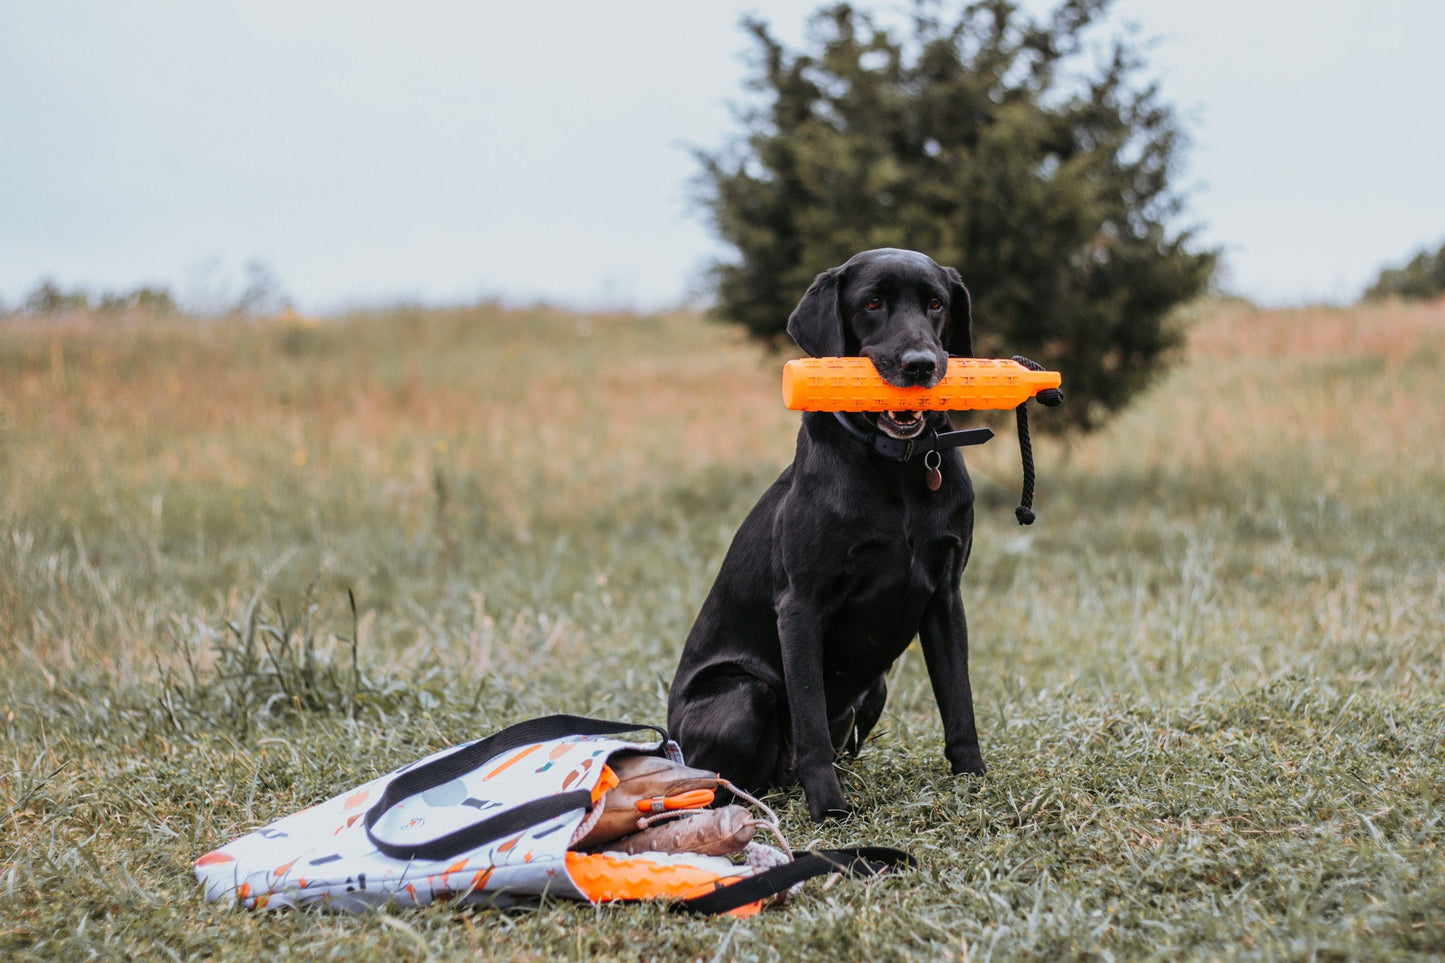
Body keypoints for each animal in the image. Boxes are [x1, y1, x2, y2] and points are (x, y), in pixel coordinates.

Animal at [667, 247, 988, 815]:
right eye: (872, 303)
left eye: (936, 304)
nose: (921, 365)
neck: (899, 468)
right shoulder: (800, 605)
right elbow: (812, 720)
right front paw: (831, 810)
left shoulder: (946, 596)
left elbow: (959, 703)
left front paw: (972, 780)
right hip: (743, 694)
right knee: (722, 780)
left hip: (875, 687)